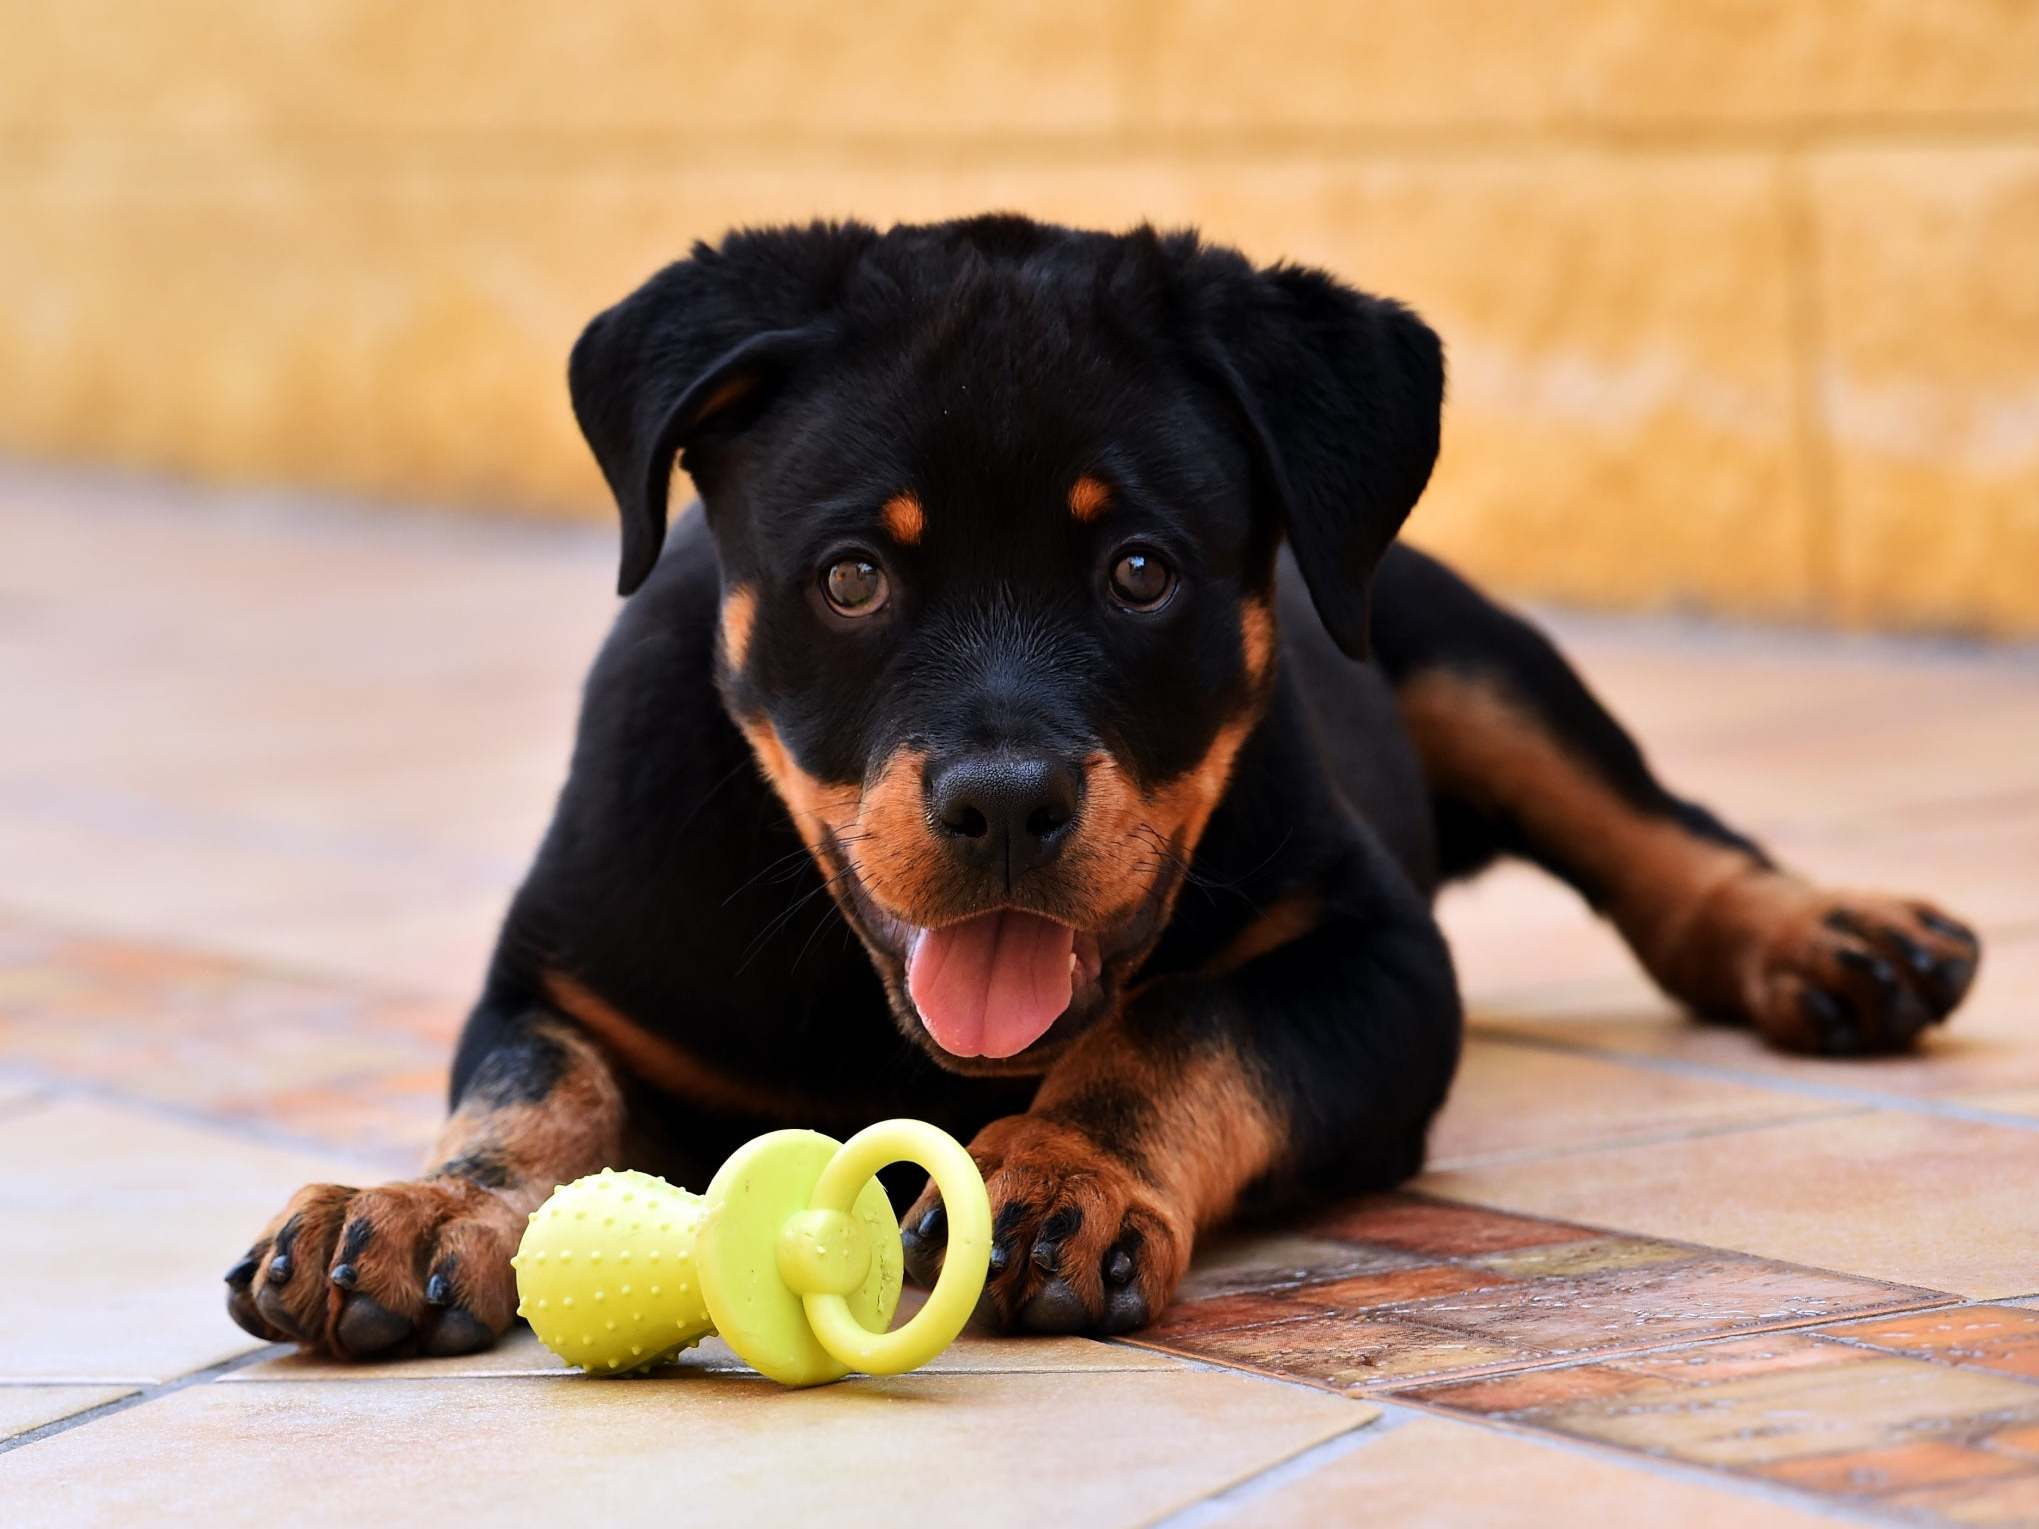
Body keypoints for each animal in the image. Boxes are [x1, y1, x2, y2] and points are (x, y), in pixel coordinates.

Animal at [223, 209, 1973, 1361]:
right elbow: (530, 1094)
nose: (1003, 799)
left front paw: (1059, 1177)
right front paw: (417, 1208)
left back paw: (1831, 940)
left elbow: (1183, 1027)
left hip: (1465, 653)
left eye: (1138, 569)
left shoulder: (1375, 962)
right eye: (852, 577)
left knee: (1661, 836)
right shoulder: (567, 979)